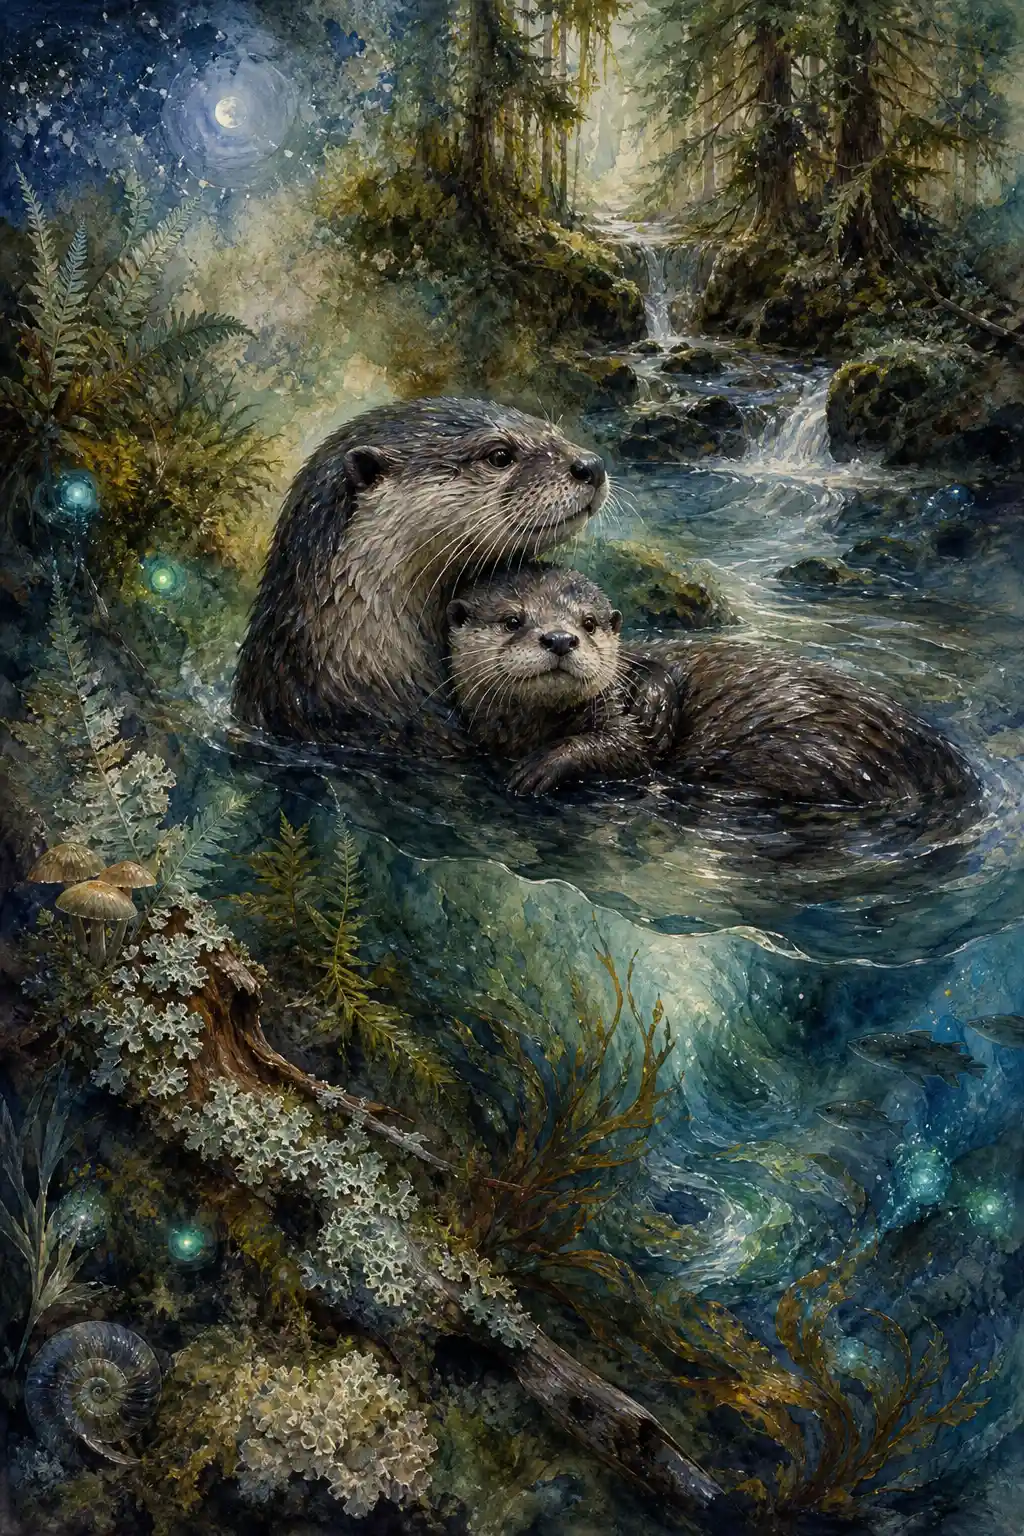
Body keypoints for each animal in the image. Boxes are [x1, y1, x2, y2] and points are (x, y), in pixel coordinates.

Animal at [447, 565, 978, 808]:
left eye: (590, 623)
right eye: (513, 620)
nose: (560, 638)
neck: (529, 729)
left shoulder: (622, 715)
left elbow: (626, 749)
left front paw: (543, 765)